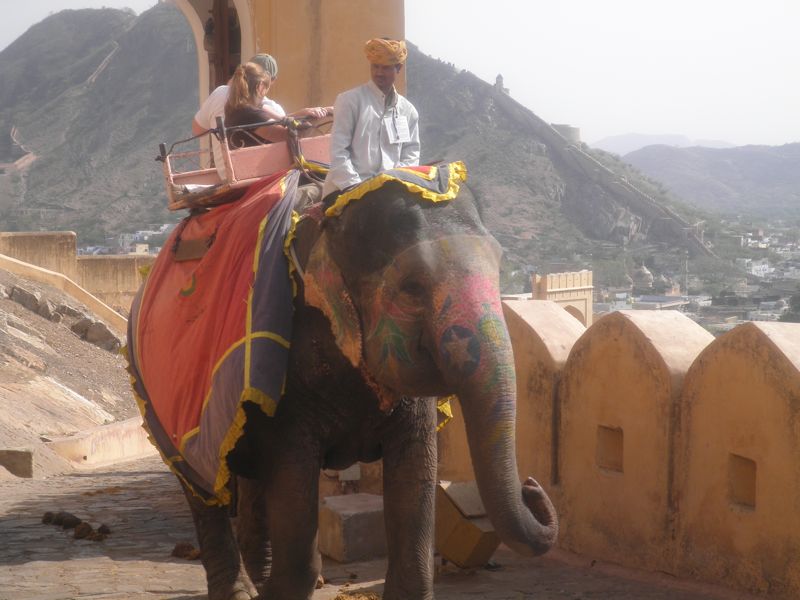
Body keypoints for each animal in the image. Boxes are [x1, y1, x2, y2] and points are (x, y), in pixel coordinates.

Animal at [136, 175, 556, 600]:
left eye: (500, 267)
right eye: (412, 287)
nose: (532, 486)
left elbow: (415, 477)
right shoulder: (288, 372)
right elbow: (294, 487)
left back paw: (260, 577)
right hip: (162, 404)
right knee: (203, 488)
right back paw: (242, 591)